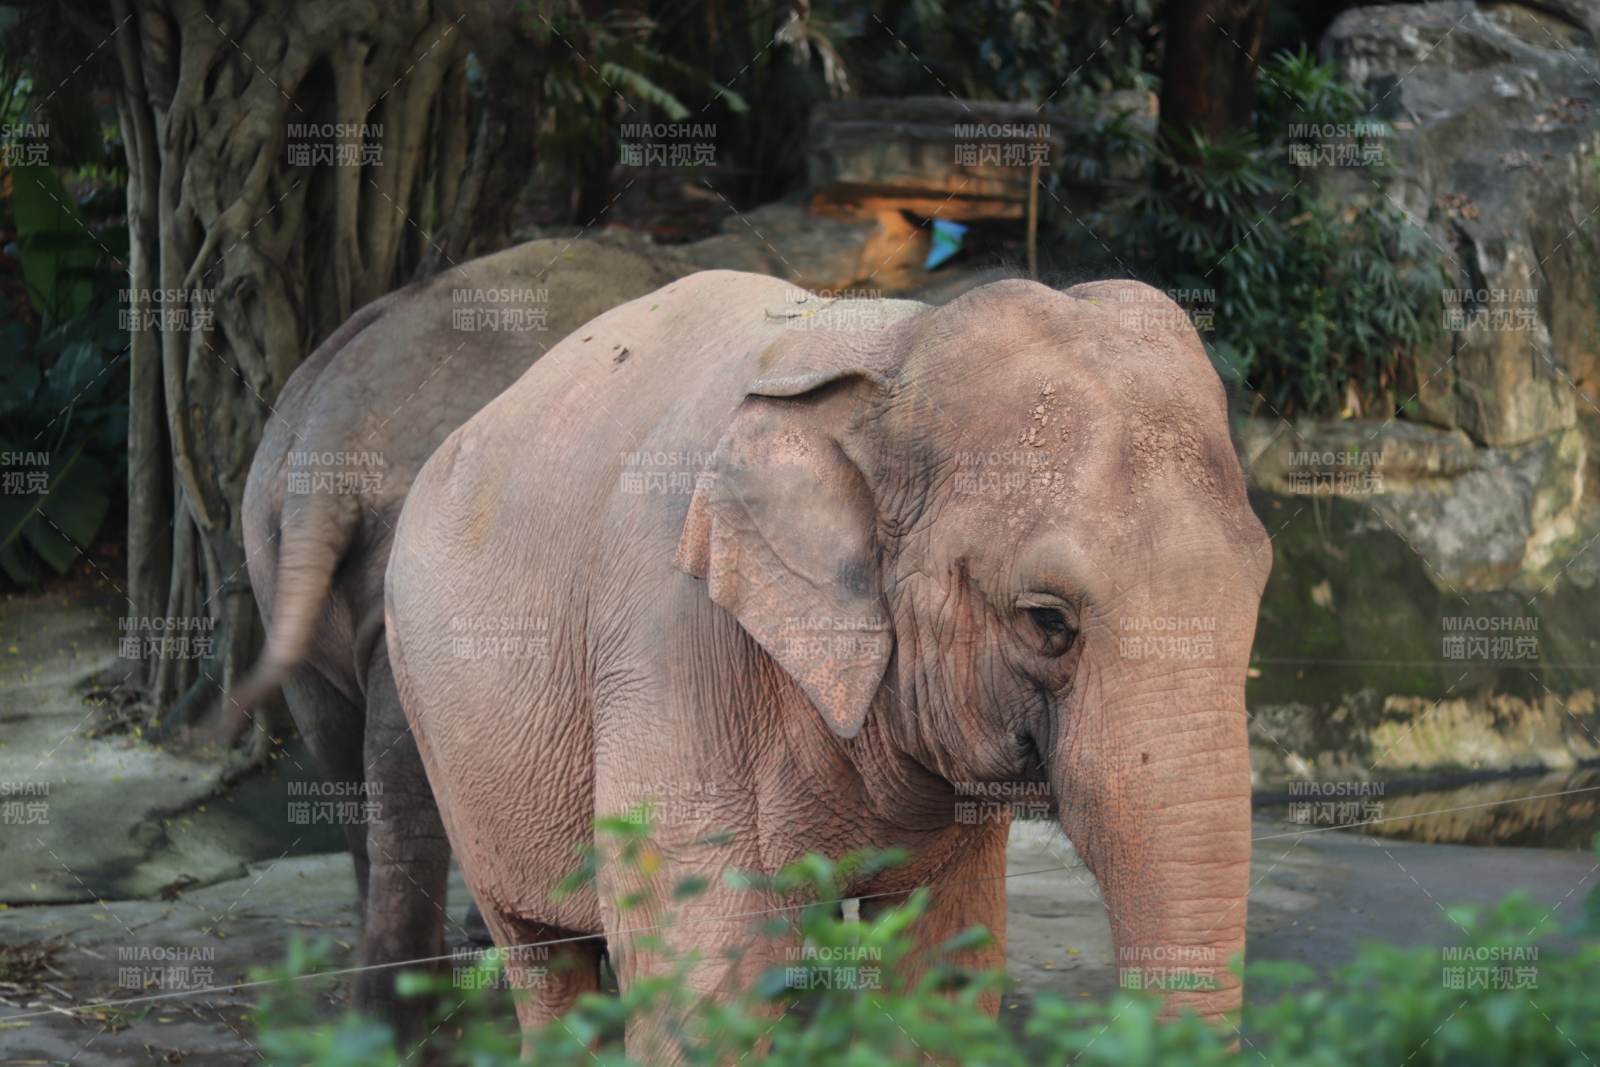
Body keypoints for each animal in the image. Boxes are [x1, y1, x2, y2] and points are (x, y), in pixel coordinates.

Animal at [236, 237, 692, 1040]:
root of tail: (321, 452)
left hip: (273, 563)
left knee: (342, 759)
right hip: (413, 589)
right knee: (402, 781)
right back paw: (413, 1020)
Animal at [384, 270, 1271, 1058]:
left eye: (1260, 586)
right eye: (1048, 620)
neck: (897, 353)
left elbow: (947, 966)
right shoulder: (672, 643)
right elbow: (711, 975)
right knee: (543, 961)